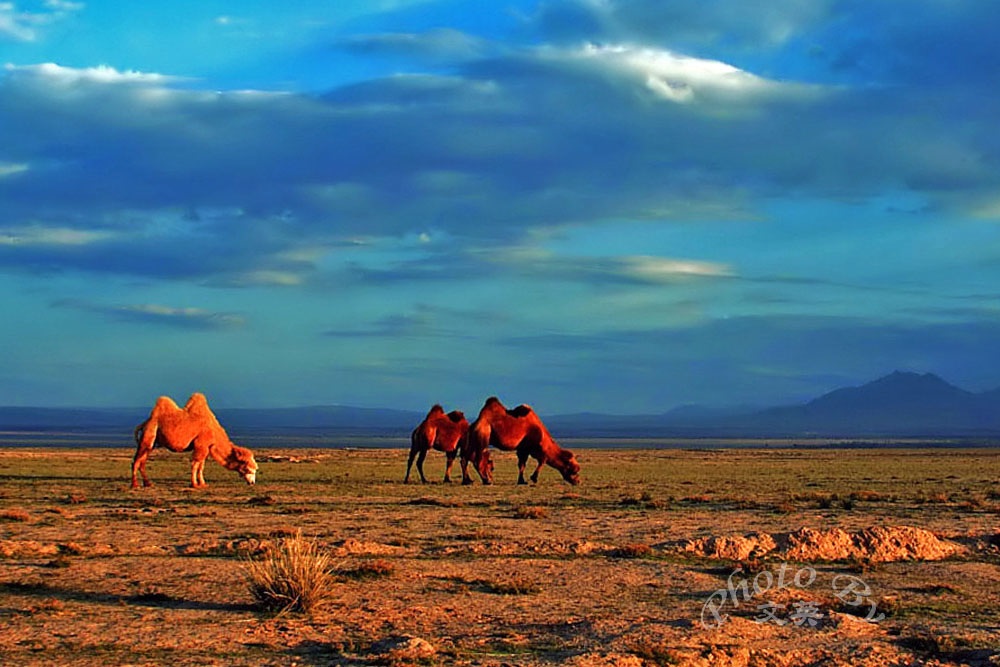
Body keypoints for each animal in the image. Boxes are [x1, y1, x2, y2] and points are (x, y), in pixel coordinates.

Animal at [129, 392, 260, 490]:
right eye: (248, 468)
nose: (252, 482)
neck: (214, 431)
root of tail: (145, 423)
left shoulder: (206, 447)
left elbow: (201, 465)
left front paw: (203, 483)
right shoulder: (200, 445)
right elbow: (195, 464)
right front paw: (194, 484)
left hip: (152, 442)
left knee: (143, 460)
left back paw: (148, 483)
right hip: (149, 434)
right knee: (137, 460)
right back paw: (135, 485)